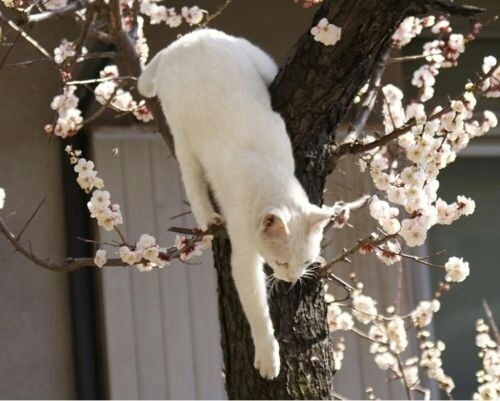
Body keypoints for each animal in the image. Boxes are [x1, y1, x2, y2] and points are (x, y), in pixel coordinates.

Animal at [137, 28, 332, 378]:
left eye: (307, 262)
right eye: (281, 262)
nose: (292, 280)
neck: (270, 177)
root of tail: (182, 42)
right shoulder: (242, 255)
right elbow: (257, 309)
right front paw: (268, 356)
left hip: (259, 60)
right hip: (184, 138)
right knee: (192, 179)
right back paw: (208, 216)